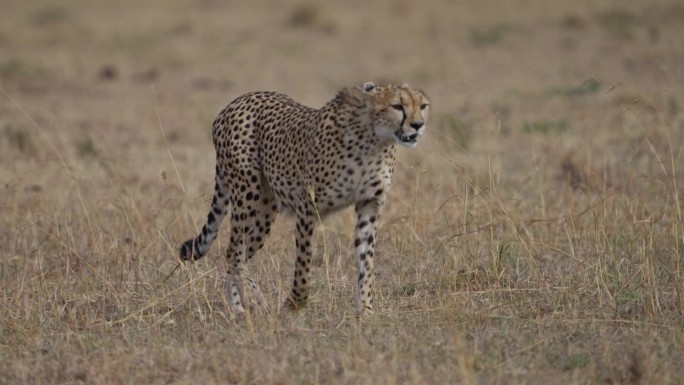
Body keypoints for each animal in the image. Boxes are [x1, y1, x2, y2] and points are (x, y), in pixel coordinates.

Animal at [179, 81, 430, 316]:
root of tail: (235, 102)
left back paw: (240, 305)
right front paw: (295, 303)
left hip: (264, 214)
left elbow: (365, 260)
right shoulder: (308, 207)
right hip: (248, 194)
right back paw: (251, 302)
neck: (375, 140)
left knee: (237, 255)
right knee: (234, 252)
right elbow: (303, 263)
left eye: (423, 106)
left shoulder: (370, 204)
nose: (418, 125)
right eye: (397, 106)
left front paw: (365, 309)